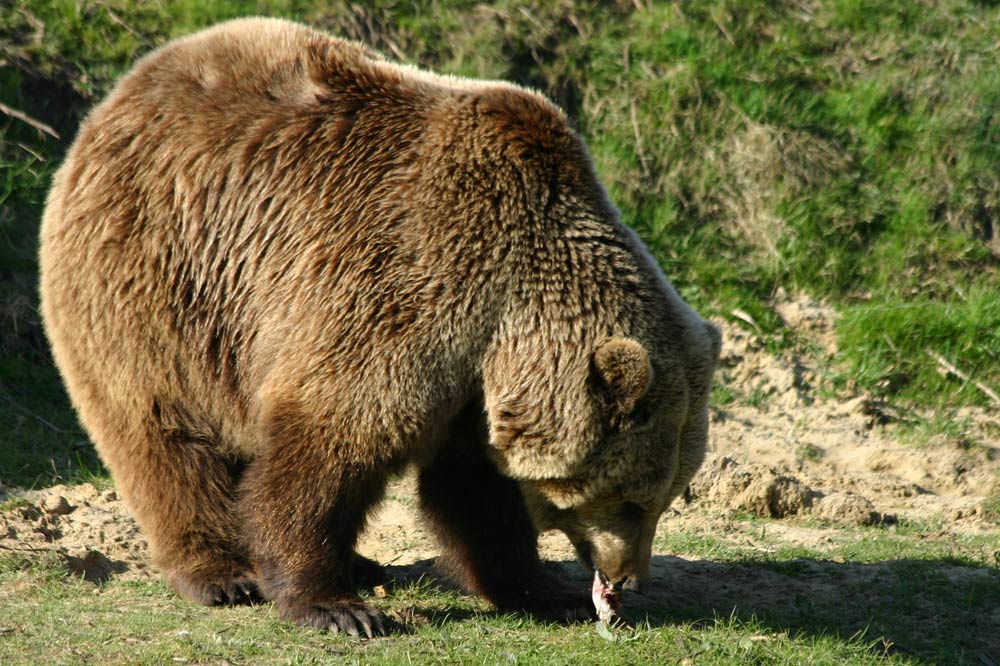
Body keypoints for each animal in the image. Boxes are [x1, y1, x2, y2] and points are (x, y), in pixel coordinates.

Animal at [37, 18, 720, 636]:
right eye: (632, 498)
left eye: (666, 496)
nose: (628, 578)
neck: (510, 310)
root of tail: (125, 90)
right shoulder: (405, 286)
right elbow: (332, 444)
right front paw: (338, 608)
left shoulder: (471, 381)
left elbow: (474, 491)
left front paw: (546, 591)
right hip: (162, 276)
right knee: (164, 432)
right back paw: (222, 571)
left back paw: (358, 562)